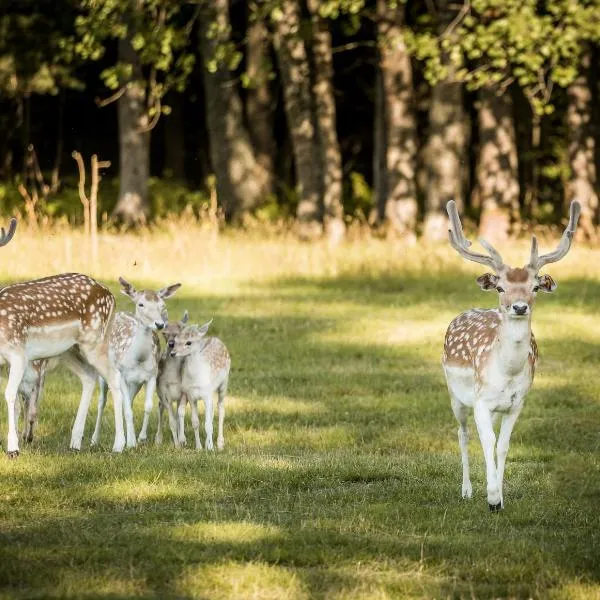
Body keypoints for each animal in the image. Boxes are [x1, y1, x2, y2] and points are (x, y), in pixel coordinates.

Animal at [90, 276, 180, 446]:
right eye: (141, 304)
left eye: (162, 305)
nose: (159, 324)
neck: (138, 359)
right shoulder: (122, 376)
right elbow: (127, 410)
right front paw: (131, 443)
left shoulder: (151, 375)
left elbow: (147, 406)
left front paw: (140, 438)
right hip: (105, 372)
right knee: (101, 402)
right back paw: (94, 439)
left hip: (136, 384)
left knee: (129, 401)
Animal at [442, 200, 580, 510]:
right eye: (501, 286)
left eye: (535, 287)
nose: (518, 307)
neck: (506, 372)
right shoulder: (480, 400)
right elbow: (487, 441)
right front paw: (491, 497)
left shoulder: (517, 403)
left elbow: (502, 445)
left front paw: (500, 498)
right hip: (455, 395)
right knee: (462, 434)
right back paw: (466, 489)